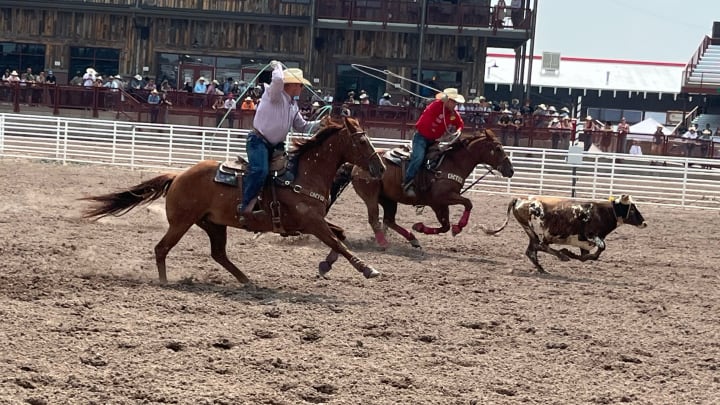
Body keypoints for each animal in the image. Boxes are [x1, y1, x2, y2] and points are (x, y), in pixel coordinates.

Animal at [83, 115, 388, 282]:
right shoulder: (312, 222)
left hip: (213, 224)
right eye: (362, 141)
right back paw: (165, 281)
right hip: (181, 222)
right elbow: (339, 241)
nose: (381, 167)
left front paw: (326, 265)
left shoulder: (313, 221)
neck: (302, 174)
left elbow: (340, 236)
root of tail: (178, 175)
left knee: (218, 254)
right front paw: (368, 269)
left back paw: (246, 279)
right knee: (161, 249)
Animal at [330, 129, 512, 249]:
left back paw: (413, 238)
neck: (451, 163)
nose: (510, 170)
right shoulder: (442, 198)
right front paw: (458, 227)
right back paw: (383, 242)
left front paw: (420, 227)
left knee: (389, 220)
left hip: (388, 199)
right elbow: (468, 203)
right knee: (374, 218)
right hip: (371, 195)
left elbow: (445, 225)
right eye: (497, 148)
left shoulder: (439, 204)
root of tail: (355, 166)